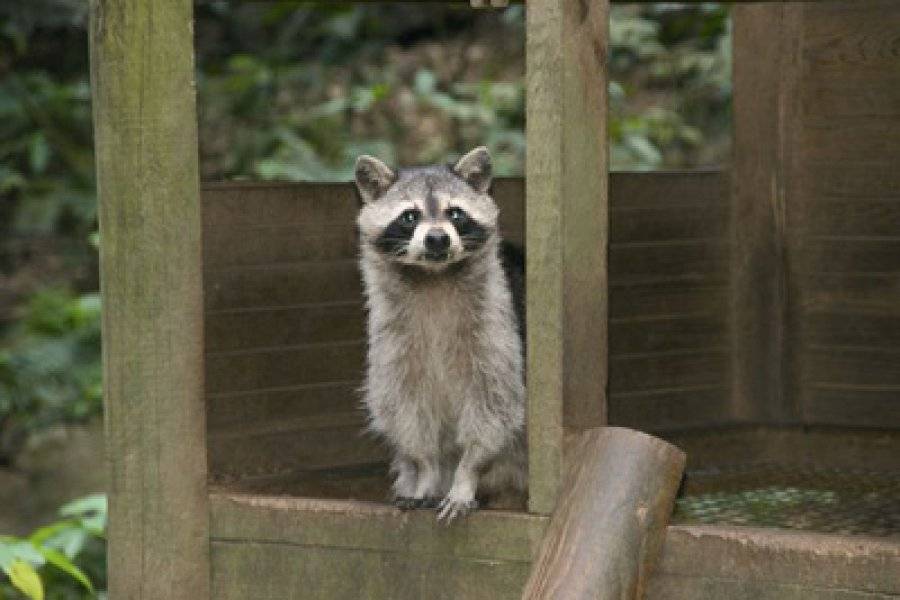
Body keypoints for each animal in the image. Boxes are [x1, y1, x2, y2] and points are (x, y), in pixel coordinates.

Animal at [356, 146, 528, 520]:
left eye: (456, 213)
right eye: (409, 217)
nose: (437, 238)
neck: (434, 277)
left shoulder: (497, 329)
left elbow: (494, 406)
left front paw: (466, 475)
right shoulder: (391, 341)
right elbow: (404, 412)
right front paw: (427, 472)